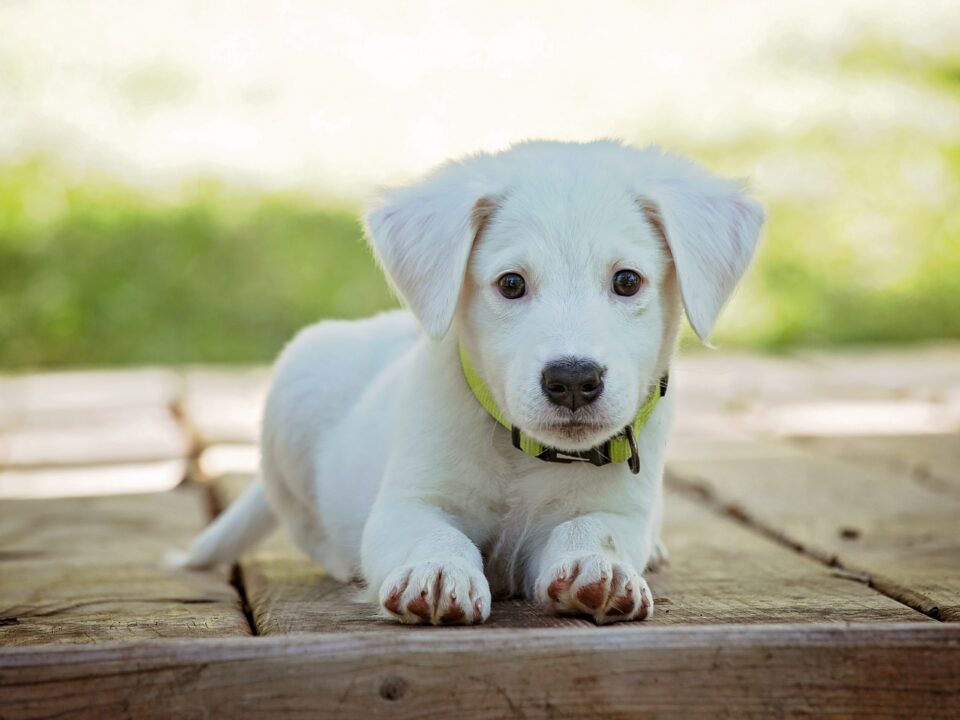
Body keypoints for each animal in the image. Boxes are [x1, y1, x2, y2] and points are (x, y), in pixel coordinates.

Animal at [184, 141, 760, 624]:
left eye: (626, 281)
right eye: (511, 284)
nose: (573, 380)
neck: (524, 455)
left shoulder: (620, 509)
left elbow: (592, 528)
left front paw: (599, 568)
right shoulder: (408, 502)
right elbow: (434, 535)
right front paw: (437, 572)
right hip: (295, 390)